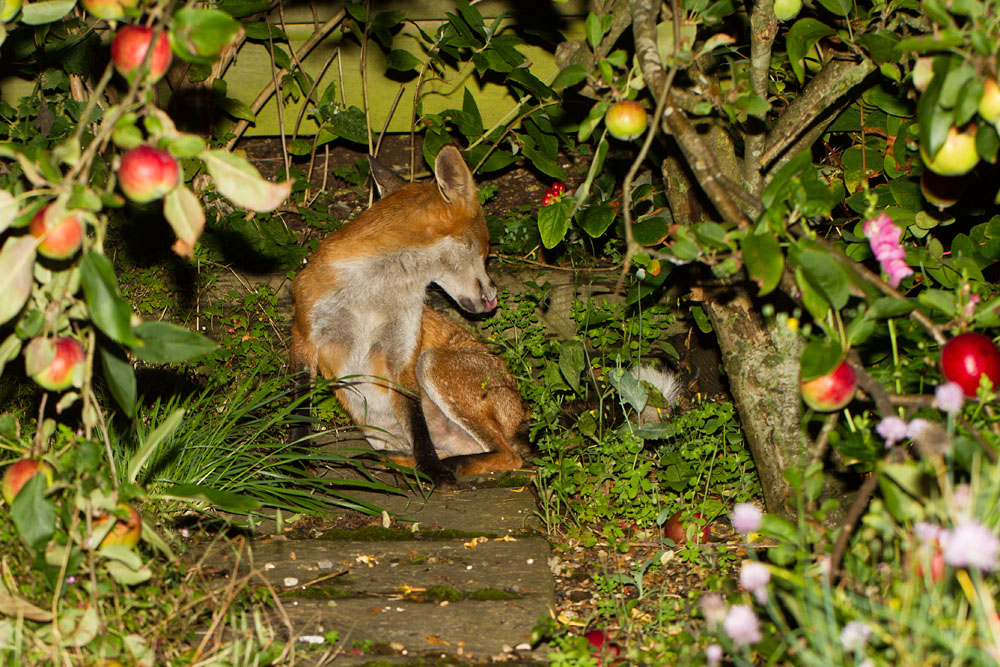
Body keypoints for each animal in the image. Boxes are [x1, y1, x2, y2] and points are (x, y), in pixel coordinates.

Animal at [288, 146, 531, 487]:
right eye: (485, 249)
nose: (494, 294)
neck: (371, 293)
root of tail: (520, 411)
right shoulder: (304, 333)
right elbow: (299, 413)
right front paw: (294, 464)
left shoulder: (402, 352)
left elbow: (417, 425)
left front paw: (434, 473)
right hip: (376, 424)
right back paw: (393, 462)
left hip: (430, 362)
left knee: (510, 455)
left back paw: (448, 466)